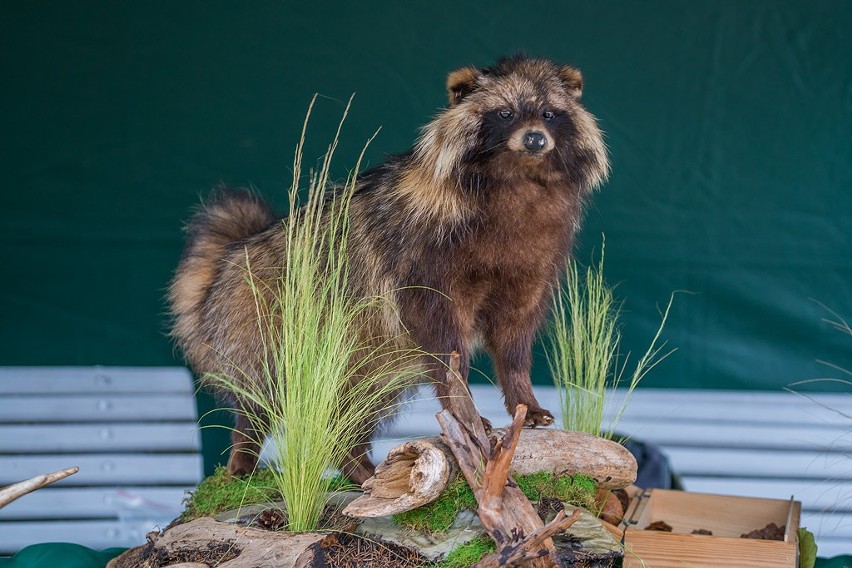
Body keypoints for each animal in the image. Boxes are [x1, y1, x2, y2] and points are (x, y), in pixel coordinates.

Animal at [168, 55, 604, 484]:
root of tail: (230, 258)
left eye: (549, 114)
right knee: (264, 399)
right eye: (505, 112)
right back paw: (245, 451)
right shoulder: (425, 262)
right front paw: (461, 405)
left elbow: (514, 339)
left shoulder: (531, 264)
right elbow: (446, 347)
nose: (534, 138)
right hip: (272, 329)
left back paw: (355, 462)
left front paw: (522, 398)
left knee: (352, 408)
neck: (518, 179)